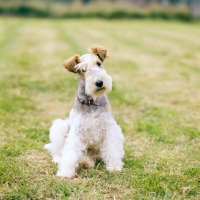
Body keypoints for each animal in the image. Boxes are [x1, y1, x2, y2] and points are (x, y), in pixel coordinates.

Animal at [44, 45, 124, 178]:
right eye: (83, 70)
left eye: (98, 63)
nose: (99, 83)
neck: (91, 102)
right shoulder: (77, 131)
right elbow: (70, 152)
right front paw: (65, 173)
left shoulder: (110, 128)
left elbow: (112, 149)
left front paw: (114, 167)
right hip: (60, 127)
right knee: (59, 151)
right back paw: (62, 160)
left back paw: (87, 162)